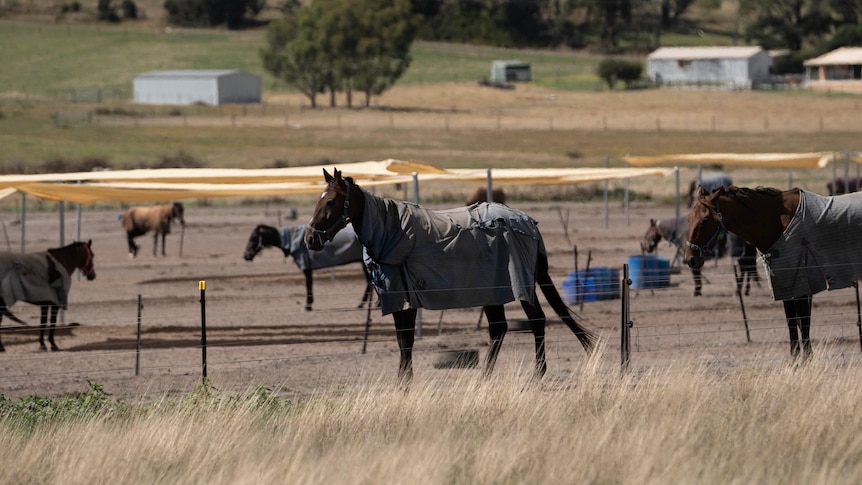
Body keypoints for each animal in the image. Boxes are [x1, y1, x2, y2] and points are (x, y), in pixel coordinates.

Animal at [304, 168, 592, 384]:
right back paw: (485, 377)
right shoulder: (396, 297)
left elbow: (406, 339)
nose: (310, 238)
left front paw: (404, 382)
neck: (391, 230)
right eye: (318, 199)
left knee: (537, 320)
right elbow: (402, 339)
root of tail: (528, 223)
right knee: (499, 328)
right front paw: (403, 380)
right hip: (492, 291)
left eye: (330, 201)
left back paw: (537, 374)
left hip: (520, 285)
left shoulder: (405, 296)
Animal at [684, 184, 860, 360]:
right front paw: (795, 360)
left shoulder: (801, 287)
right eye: (688, 218)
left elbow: (803, 321)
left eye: (705, 220)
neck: (779, 222)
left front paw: (806, 358)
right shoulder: (786, 286)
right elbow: (792, 321)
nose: (689, 259)